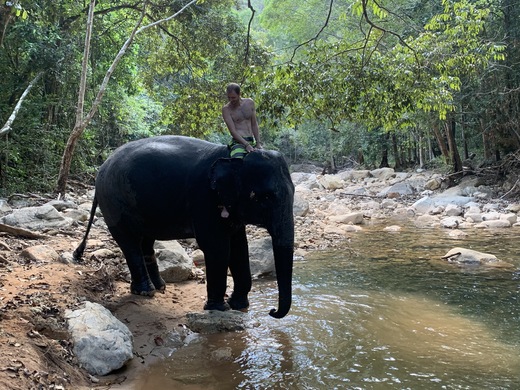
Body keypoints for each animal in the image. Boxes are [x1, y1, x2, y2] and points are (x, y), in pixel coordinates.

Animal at [73, 136, 294, 318]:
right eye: (265, 197)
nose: (272, 311)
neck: (233, 158)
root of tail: (100, 170)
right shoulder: (204, 199)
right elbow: (217, 247)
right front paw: (218, 308)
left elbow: (240, 247)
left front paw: (238, 305)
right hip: (113, 202)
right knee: (130, 243)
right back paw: (146, 291)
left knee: (145, 242)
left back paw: (160, 287)